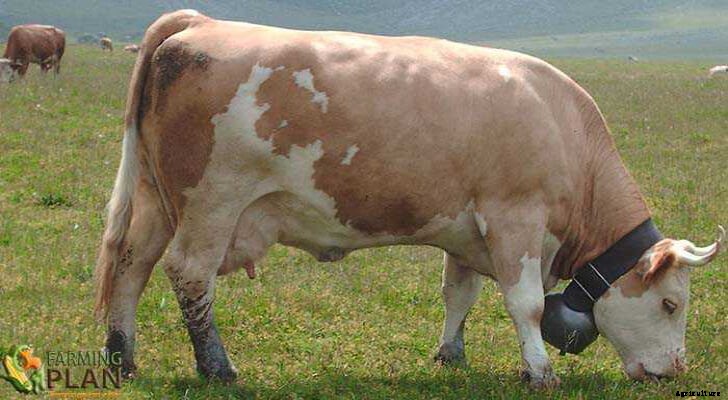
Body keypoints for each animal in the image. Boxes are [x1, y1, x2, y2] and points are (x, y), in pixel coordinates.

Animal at [94, 10, 724, 389]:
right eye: (671, 304)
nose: (675, 370)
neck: (561, 124)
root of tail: (200, 22)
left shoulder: (466, 230)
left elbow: (459, 294)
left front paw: (451, 355)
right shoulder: (515, 217)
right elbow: (525, 304)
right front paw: (539, 372)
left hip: (154, 200)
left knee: (130, 265)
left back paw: (123, 356)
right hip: (212, 202)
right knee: (189, 274)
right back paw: (217, 366)